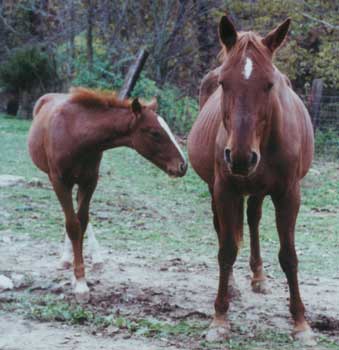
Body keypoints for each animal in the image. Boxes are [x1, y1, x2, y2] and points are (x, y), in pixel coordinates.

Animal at [28, 87, 189, 300]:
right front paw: (80, 283)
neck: (77, 133)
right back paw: (66, 259)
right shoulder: (60, 182)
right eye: (155, 133)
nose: (183, 166)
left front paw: (79, 277)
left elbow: (82, 222)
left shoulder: (90, 182)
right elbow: (73, 225)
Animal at [187, 17, 314, 344]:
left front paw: (301, 323)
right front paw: (219, 318)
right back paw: (233, 284)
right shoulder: (224, 191)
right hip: (217, 190)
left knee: (254, 219)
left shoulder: (289, 195)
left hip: (258, 190)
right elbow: (227, 250)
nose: (241, 158)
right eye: (224, 83)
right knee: (225, 229)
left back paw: (259, 276)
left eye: (269, 84)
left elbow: (289, 256)